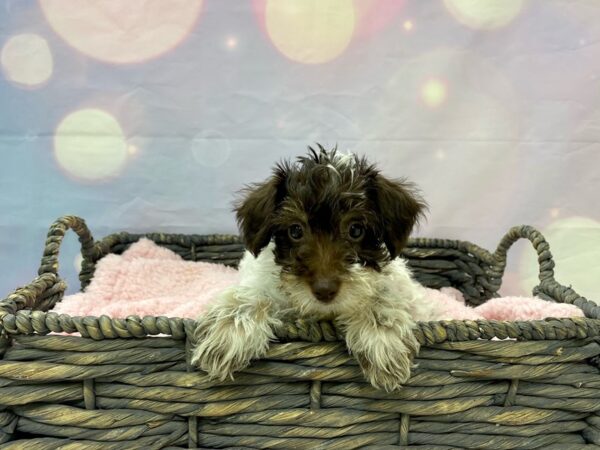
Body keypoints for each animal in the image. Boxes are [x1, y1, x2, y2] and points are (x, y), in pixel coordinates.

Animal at [192, 147, 432, 390]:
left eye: (356, 230)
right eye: (295, 230)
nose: (324, 290)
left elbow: (381, 297)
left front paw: (382, 339)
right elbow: (252, 296)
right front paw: (228, 334)